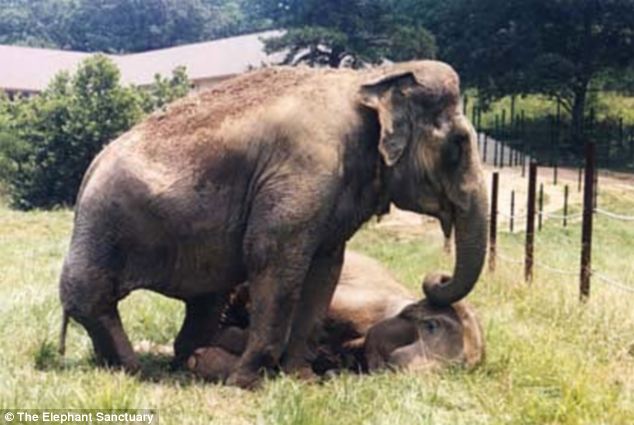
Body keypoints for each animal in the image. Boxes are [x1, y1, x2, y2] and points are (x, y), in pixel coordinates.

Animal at [59, 60, 486, 388]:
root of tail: (91, 167)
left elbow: (325, 267)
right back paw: (136, 371)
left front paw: (301, 378)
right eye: (458, 147)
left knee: (205, 300)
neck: (373, 78)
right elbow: (273, 259)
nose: (437, 280)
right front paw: (244, 382)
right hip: (105, 225)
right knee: (90, 297)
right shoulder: (302, 170)